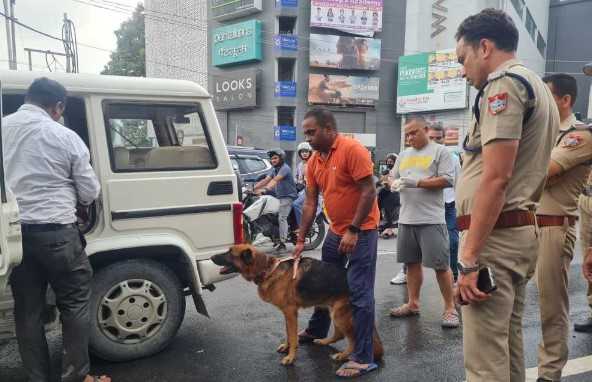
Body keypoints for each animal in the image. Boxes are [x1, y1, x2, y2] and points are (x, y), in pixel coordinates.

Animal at [212, 243, 384, 366]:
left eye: (230, 253)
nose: (212, 256)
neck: (268, 269)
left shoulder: (290, 313)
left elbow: (293, 337)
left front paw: (291, 357)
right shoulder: (287, 314)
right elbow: (288, 333)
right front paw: (286, 348)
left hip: (340, 315)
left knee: (354, 340)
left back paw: (343, 356)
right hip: (334, 311)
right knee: (339, 334)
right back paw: (324, 341)